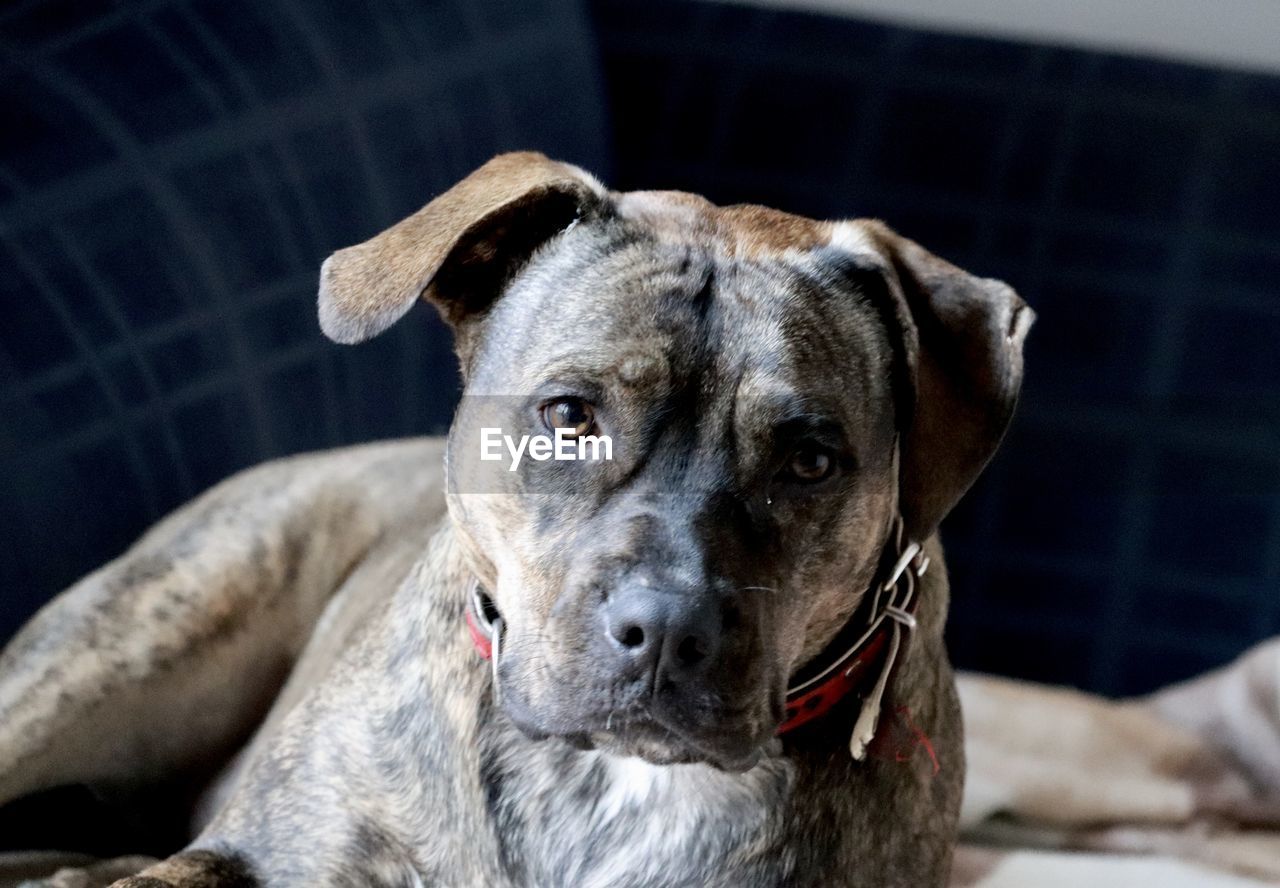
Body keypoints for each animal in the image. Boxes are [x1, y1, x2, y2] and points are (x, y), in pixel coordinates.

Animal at [0, 154, 1029, 888]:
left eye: (811, 461)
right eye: (568, 415)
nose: (666, 630)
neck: (619, 778)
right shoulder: (261, 851)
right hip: (134, 634)